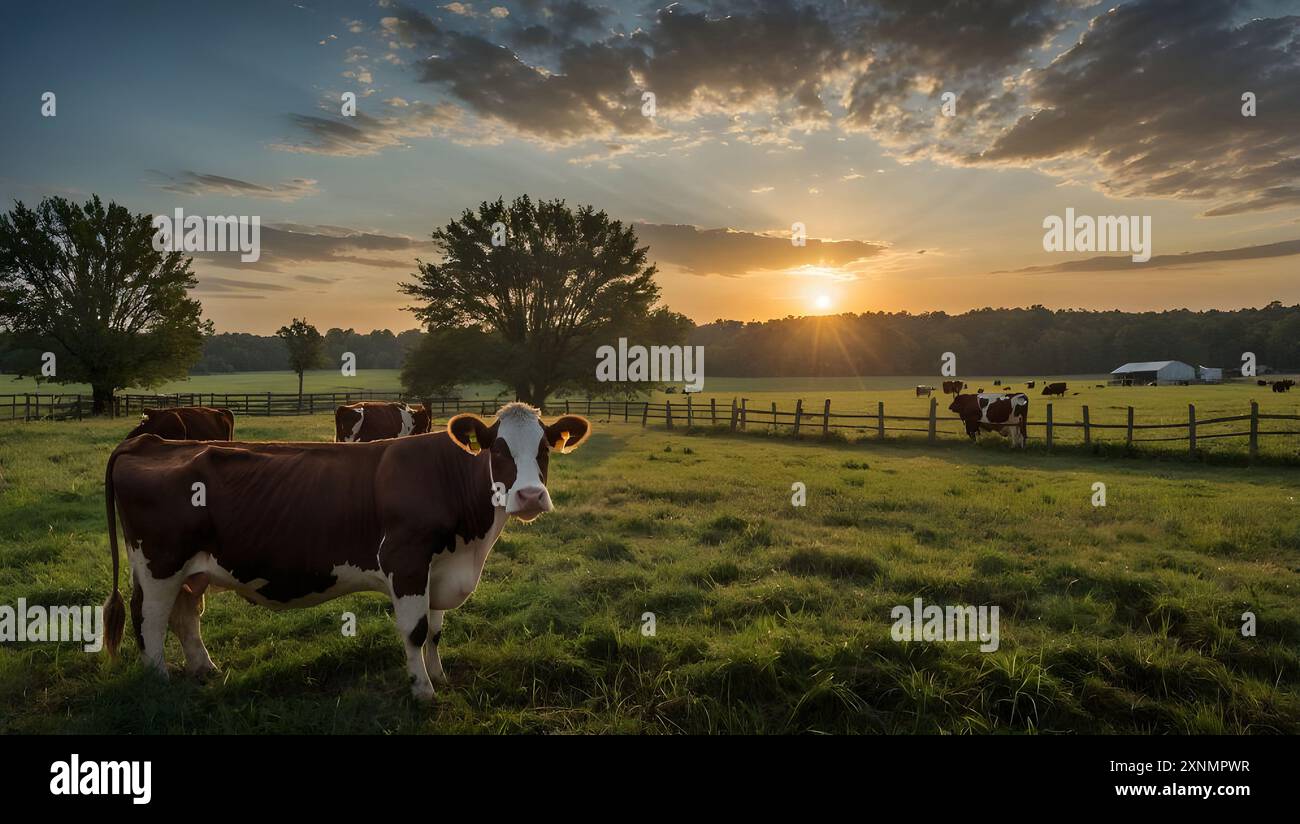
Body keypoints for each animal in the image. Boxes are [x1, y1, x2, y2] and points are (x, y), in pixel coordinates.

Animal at [102, 402, 591, 700]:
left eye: (545, 449)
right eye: (498, 449)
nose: (530, 496)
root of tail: (148, 442)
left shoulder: (440, 567)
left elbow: (434, 631)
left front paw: (439, 676)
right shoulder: (406, 560)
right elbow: (415, 632)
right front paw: (423, 691)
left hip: (191, 571)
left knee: (185, 616)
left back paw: (204, 670)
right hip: (159, 566)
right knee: (150, 620)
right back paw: (159, 681)